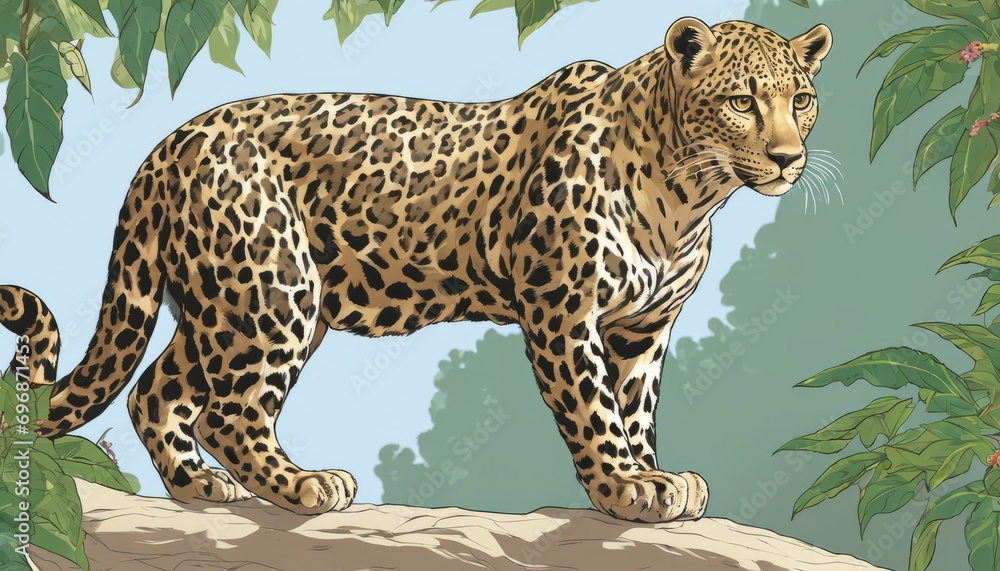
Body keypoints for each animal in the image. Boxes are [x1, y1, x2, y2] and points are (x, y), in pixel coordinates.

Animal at [1, 17, 831, 522]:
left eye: (801, 99)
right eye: (740, 101)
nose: (789, 158)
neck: (689, 194)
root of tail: (168, 146)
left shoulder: (642, 327)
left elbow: (633, 409)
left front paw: (654, 479)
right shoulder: (564, 312)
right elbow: (595, 411)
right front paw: (626, 486)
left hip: (229, 302)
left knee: (157, 389)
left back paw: (202, 487)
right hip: (272, 291)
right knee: (226, 410)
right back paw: (303, 485)